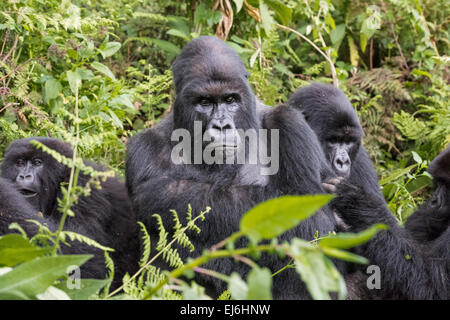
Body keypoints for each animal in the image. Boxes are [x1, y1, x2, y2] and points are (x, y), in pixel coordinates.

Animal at [125, 36, 342, 298]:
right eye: (204, 102)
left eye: (230, 100)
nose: (222, 125)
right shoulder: (142, 150)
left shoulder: (291, 125)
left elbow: (312, 217)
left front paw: (167, 194)